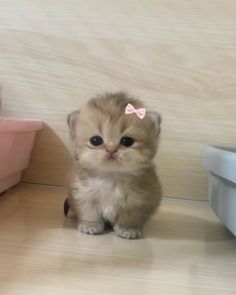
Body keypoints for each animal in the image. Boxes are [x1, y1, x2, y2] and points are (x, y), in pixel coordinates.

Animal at [66, 92, 162, 240]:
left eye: (127, 141)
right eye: (95, 140)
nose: (111, 149)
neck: (111, 177)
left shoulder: (136, 201)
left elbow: (129, 217)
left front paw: (127, 229)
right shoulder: (84, 195)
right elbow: (90, 213)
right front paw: (90, 226)